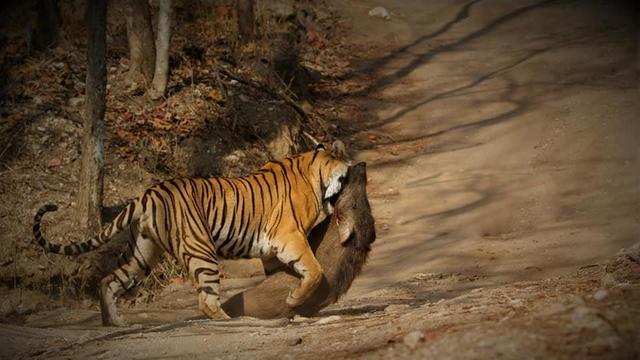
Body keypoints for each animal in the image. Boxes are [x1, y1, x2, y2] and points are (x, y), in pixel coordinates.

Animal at [32, 141, 348, 326]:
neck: (315, 171)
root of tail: (147, 194)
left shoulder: (271, 251)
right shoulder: (289, 236)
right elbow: (314, 270)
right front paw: (294, 300)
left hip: (143, 253)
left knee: (108, 280)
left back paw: (115, 323)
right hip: (201, 250)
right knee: (206, 301)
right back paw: (228, 321)